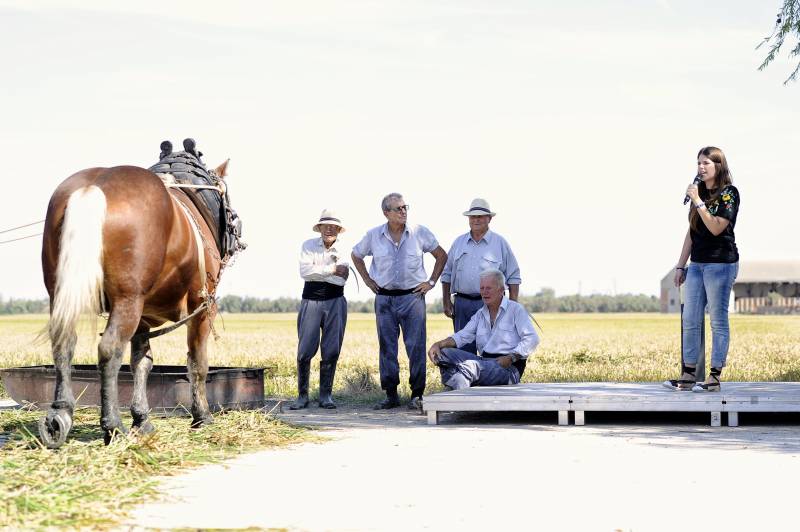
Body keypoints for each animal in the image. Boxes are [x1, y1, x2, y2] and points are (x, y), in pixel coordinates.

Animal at [38, 142, 231, 448]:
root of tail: (94, 187)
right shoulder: (202, 306)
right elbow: (197, 362)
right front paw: (202, 416)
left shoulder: (144, 317)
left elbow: (141, 364)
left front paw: (142, 419)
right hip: (127, 300)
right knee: (109, 350)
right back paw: (112, 425)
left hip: (60, 293)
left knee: (63, 344)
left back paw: (60, 415)